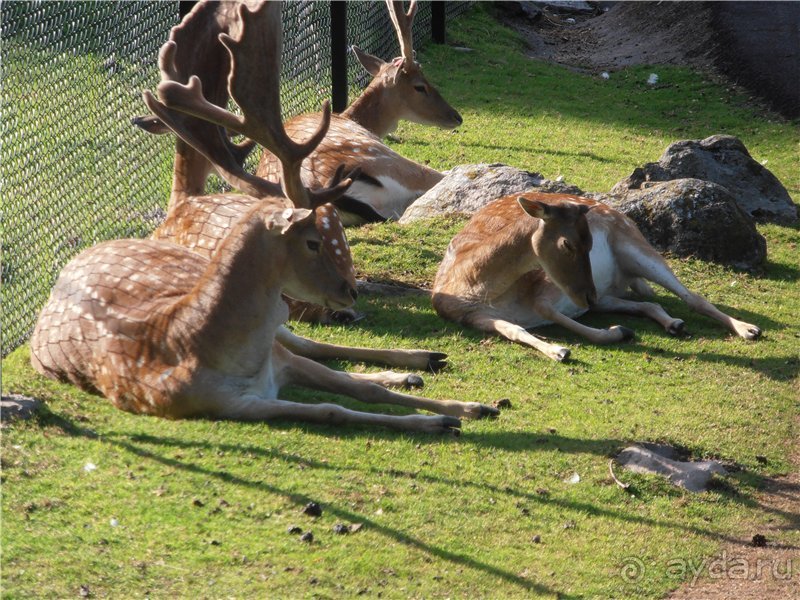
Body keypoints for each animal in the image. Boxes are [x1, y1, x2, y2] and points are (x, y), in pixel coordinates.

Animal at [432, 193, 764, 360]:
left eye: (591, 243)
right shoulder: (468, 314)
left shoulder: (546, 283)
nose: (587, 295)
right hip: (606, 293)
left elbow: (545, 310)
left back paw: (749, 329)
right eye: (567, 244)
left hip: (633, 244)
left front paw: (615, 333)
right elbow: (514, 329)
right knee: (649, 303)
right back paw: (674, 324)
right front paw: (559, 350)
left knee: (692, 297)